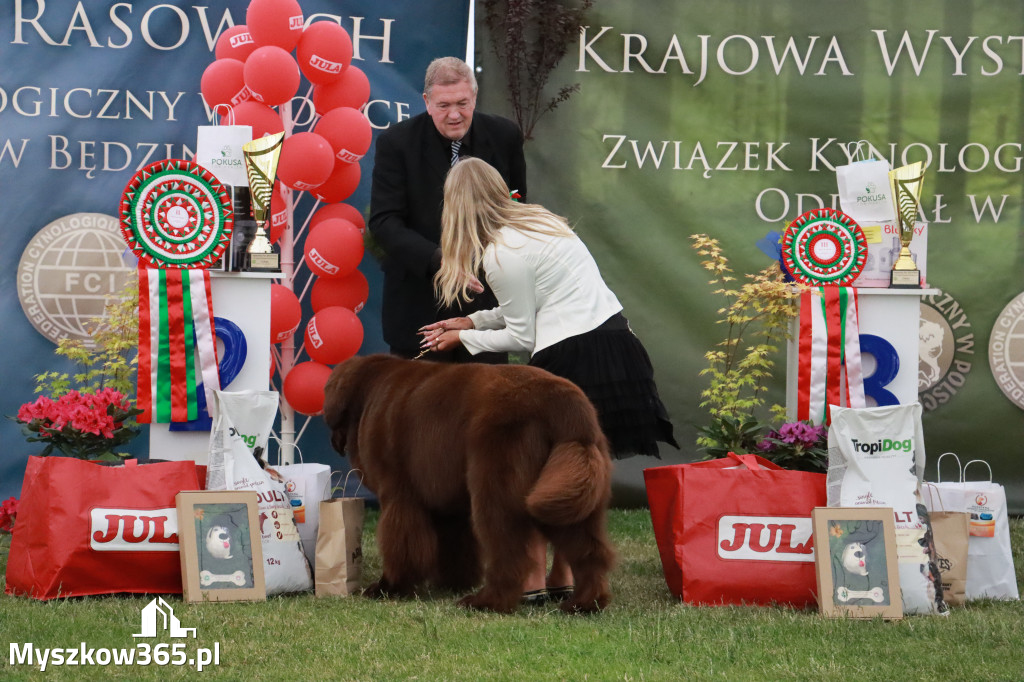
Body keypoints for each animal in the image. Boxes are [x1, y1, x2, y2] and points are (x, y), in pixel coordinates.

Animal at [323, 352, 614, 614]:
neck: (368, 390)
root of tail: (570, 412)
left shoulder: (399, 493)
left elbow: (402, 543)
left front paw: (390, 587)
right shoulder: (447, 503)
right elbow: (456, 543)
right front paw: (453, 582)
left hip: (497, 486)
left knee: (510, 551)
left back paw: (487, 602)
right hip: (571, 491)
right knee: (589, 551)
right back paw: (584, 603)